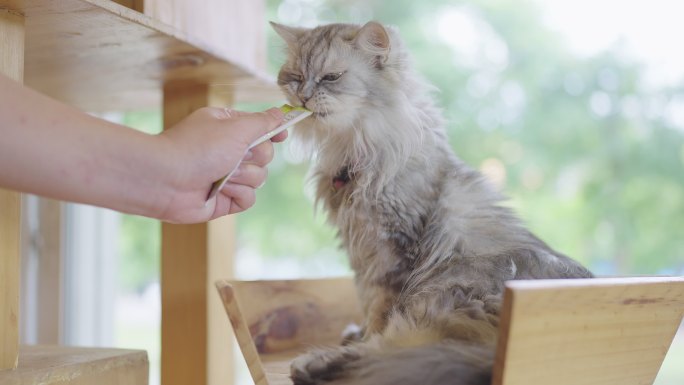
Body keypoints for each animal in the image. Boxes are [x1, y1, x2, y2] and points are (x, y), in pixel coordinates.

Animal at [270, 20, 592, 384]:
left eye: (331, 77)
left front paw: (361, 334)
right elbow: (366, 304)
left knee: (389, 353)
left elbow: (378, 313)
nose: (303, 96)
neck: (356, 147)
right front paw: (358, 330)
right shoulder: (361, 254)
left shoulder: (391, 253)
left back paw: (313, 364)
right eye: (295, 76)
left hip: (443, 297)